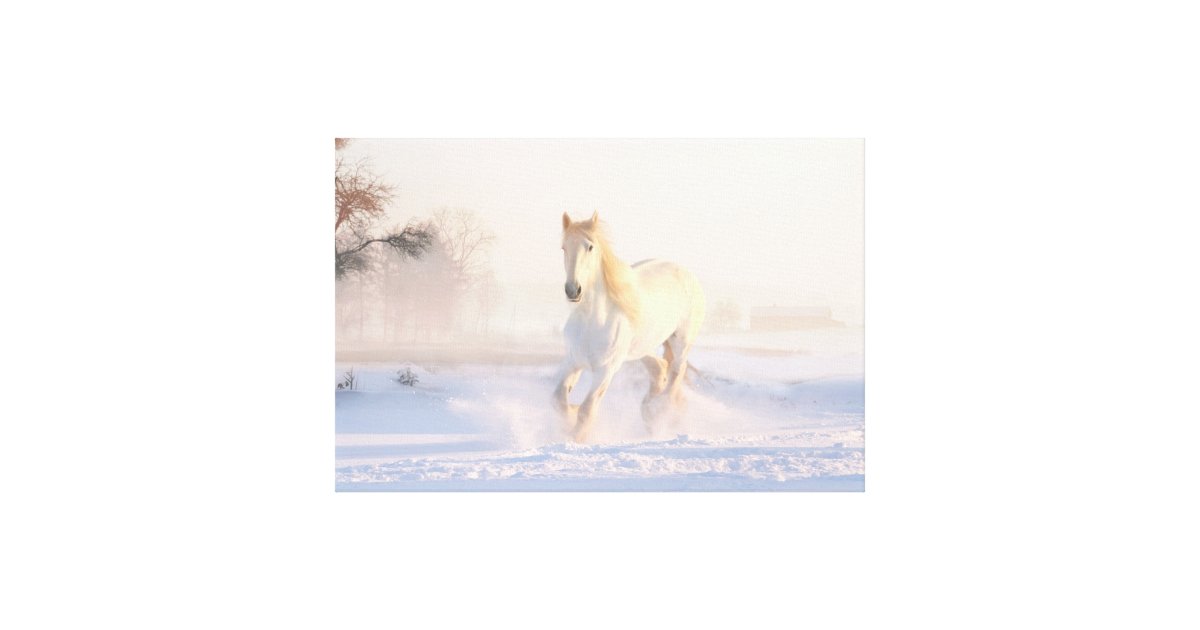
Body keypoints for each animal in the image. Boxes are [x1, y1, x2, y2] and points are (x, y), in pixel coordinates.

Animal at [552, 211, 706, 443]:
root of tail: (686, 273)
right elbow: (559, 400)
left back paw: (660, 410)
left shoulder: (606, 370)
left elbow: (587, 409)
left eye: (590, 247)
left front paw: (576, 437)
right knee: (660, 368)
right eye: (564, 247)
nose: (573, 290)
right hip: (641, 348)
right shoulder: (573, 361)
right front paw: (570, 417)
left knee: (677, 370)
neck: (592, 321)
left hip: (681, 340)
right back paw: (650, 410)